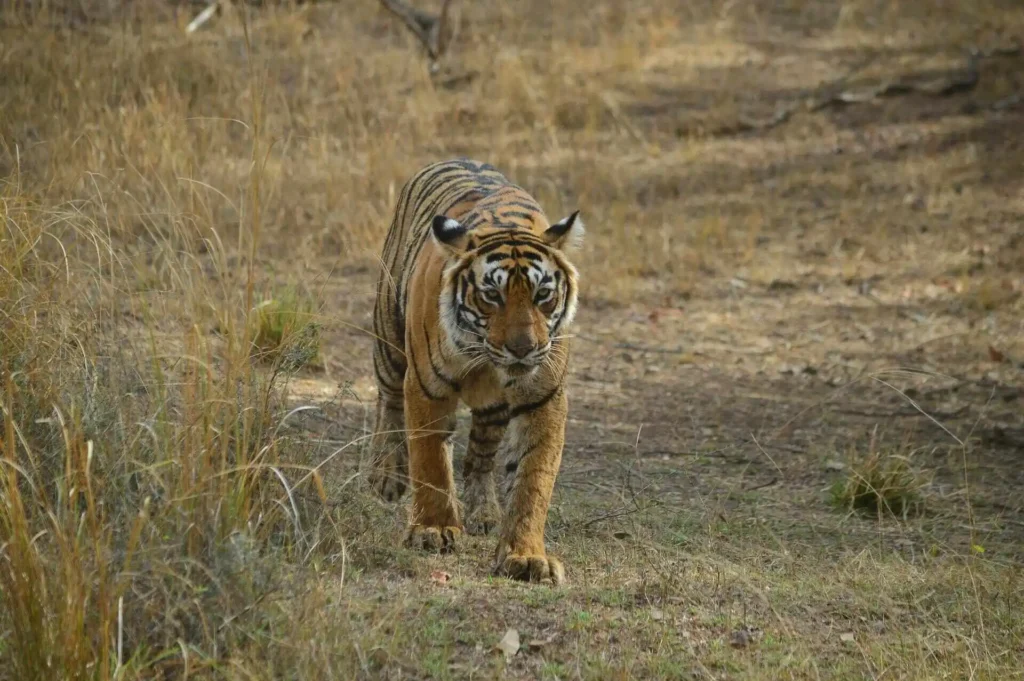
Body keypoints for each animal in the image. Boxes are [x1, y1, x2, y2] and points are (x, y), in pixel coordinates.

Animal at [367, 158, 584, 584]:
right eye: (491, 296)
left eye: (543, 295)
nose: (523, 348)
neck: (486, 359)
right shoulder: (426, 386)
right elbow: (431, 461)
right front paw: (433, 530)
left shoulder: (544, 397)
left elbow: (533, 479)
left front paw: (526, 555)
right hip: (390, 343)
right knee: (389, 403)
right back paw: (387, 475)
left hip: (493, 410)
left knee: (480, 457)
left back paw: (484, 512)